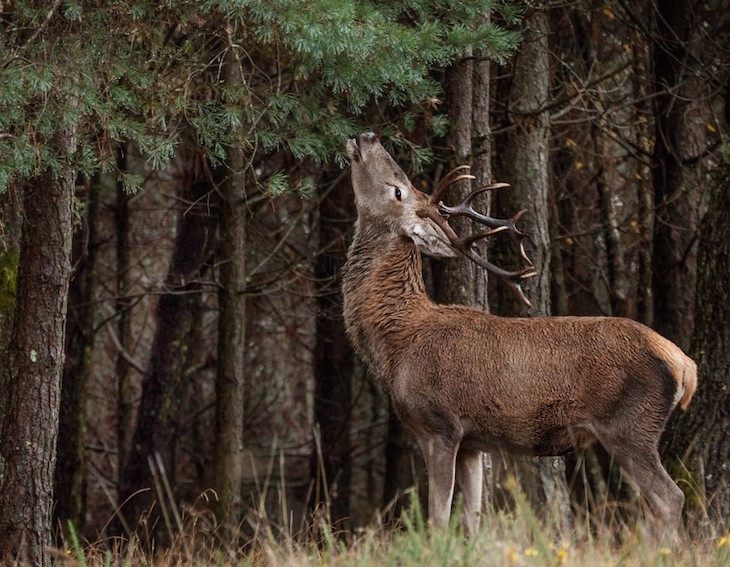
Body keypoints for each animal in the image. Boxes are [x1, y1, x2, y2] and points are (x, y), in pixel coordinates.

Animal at [342, 133, 692, 540]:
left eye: (398, 191)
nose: (368, 137)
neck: (395, 344)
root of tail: (685, 365)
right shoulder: (472, 442)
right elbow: (473, 518)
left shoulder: (438, 425)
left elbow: (438, 519)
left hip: (630, 425)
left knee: (670, 498)